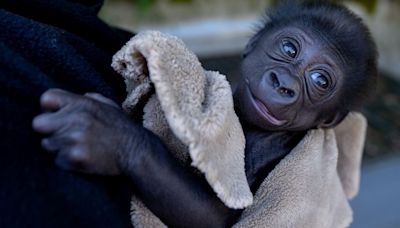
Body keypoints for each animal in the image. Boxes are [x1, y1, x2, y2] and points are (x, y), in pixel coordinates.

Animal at [32, 0, 376, 227]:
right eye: (289, 49)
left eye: (320, 81)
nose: (284, 84)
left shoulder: (273, 147)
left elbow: (215, 216)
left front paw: (110, 138)